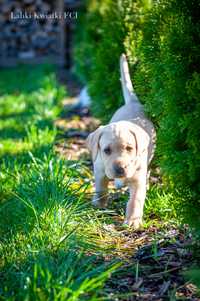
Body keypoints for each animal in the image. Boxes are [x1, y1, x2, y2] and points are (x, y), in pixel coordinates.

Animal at [86, 54, 155, 227]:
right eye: (106, 150)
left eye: (130, 148)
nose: (120, 169)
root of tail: (133, 102)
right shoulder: (100, 169)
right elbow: (101, 187)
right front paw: (99, 204)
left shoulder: (138, 178)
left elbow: (136, 199)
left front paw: (132, 220)